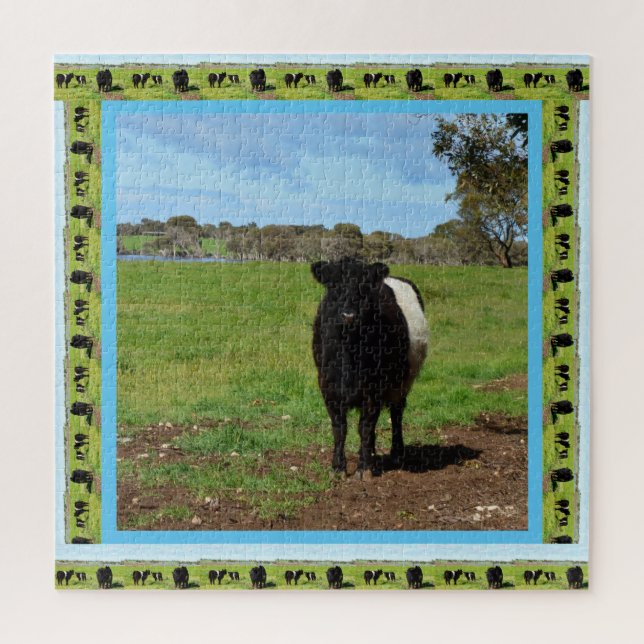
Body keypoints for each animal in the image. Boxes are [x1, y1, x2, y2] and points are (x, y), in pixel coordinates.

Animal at [311, 259, 428, 476]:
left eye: (364, 287)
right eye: (333, 285)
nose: (348, 315)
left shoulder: (373, 388)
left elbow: (364, 426)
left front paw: (364, 468)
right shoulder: (328, 386)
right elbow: (340, 427)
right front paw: (338, 467)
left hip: (402, 382)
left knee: (396, 413)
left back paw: (396, 453)